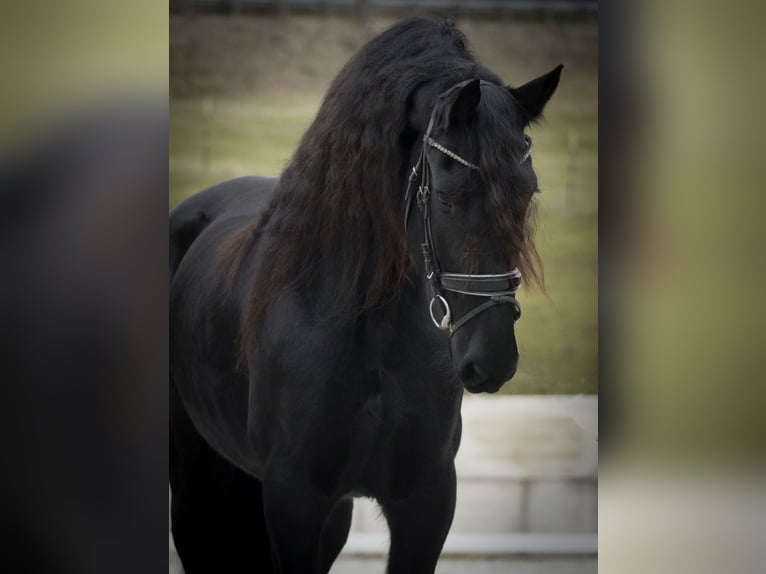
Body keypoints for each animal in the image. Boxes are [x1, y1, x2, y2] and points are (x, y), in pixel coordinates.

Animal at [170, 17, 561, 574]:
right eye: (448, 197)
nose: (492, 360)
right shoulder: (293, 497)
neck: (371, 336)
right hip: (196, 477)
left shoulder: (425, 500)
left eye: (527, 193)